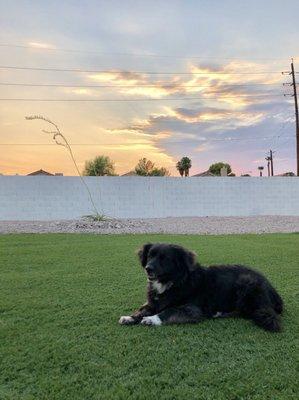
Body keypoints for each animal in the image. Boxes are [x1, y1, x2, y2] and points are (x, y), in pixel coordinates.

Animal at [119, 244, 284, 332]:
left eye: (164, 258)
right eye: (149, 256)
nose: (148, 268)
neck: (174, 282)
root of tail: (273, 290)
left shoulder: (192, 309)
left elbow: (168, 310)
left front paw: (152, 319)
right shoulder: (153, 302)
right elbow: (142, 309)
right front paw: (130, 317)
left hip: (247, 282)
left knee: (246, 311)